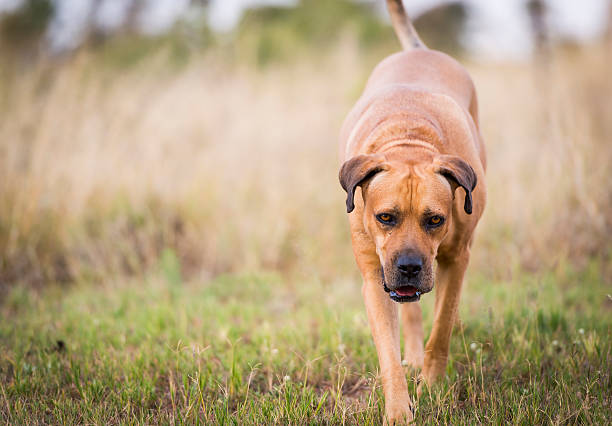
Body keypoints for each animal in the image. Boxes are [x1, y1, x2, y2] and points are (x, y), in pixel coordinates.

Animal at [338, 0, 486, 422]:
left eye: (435, 219)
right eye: (385, 217)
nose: (408, 267)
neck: (408, 140)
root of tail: (420, 50)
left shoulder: (457, 258)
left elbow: (443, 327)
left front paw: (432, 387)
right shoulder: (374, 277)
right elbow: (388, 353)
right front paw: (398, 411)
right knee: (410, 313)